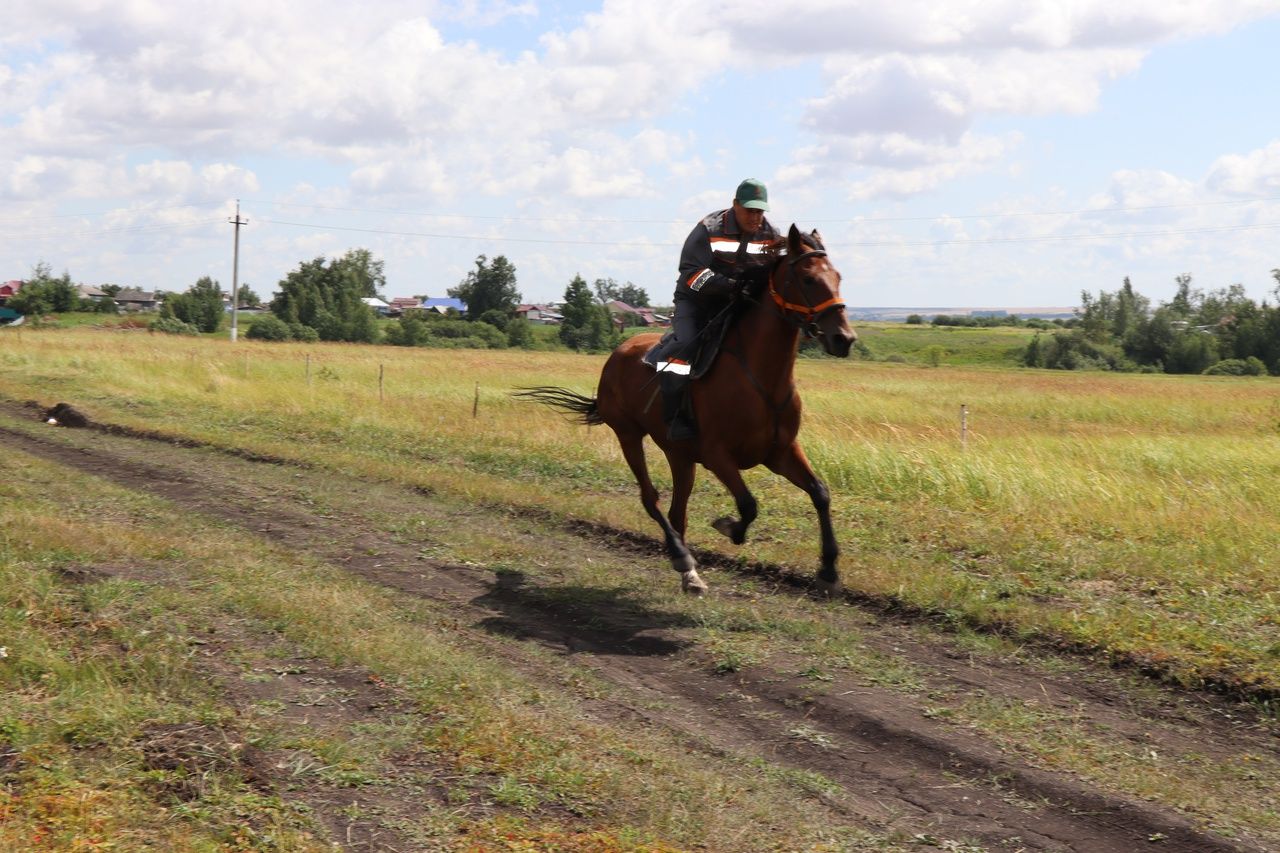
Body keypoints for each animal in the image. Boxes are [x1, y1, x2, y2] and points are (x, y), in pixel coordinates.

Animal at [514, 224, 855, 591]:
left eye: (838, 276)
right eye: (808, 279)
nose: (844, 338)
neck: (761, 379)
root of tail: (618, 353)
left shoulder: (780, 452)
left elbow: (820, 493)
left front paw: (829, 569)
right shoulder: (718, 455)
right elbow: (748, 504)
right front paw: (729, 527)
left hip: (680, 456)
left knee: (678, 511)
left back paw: (689, 572)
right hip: (629, 436)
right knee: (651, 499)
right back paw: (681, 557)